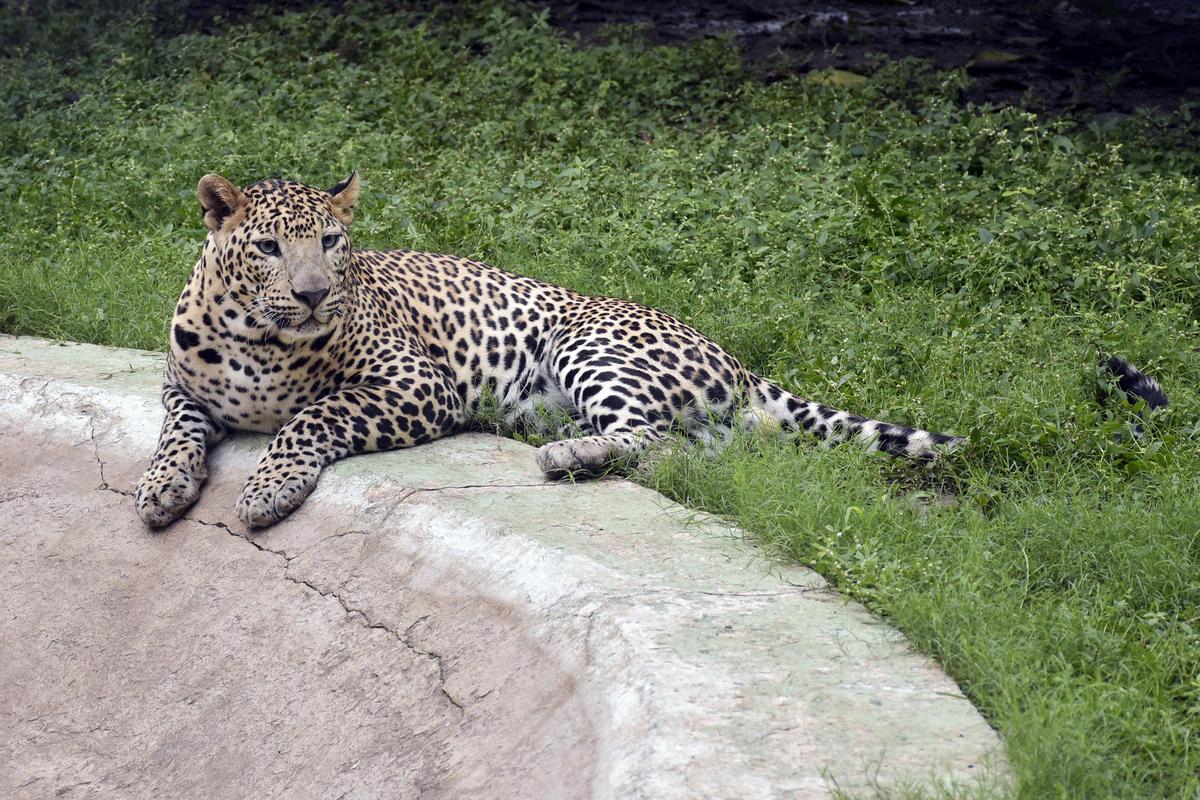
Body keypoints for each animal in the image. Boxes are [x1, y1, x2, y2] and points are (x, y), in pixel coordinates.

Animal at [135, 173, 963, 529]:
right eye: (269, 248)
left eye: (332, 243)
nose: (312, 295)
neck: (257, 336)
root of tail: (736, 359)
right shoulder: (182, 389)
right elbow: (176, 430)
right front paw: (161, 487)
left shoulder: (415, 385)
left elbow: (310, 418)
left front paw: (267, 489)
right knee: (705, 454)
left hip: (584, 341)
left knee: (656, 440)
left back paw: (569, 456)